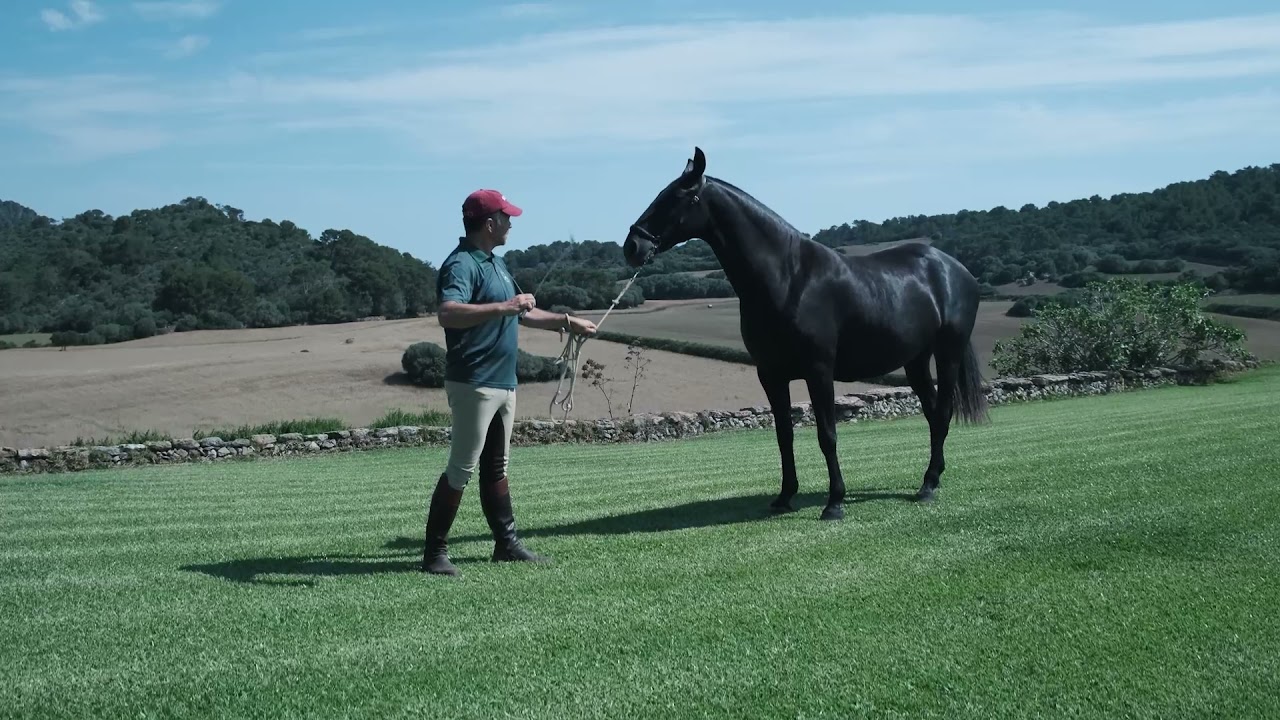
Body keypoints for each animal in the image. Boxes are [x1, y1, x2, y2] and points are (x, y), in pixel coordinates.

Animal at [621, 147, 989, 521]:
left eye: (677, 197)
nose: (632, 246)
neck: (790, 279)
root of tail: (955, 270)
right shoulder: (770, 374)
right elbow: (784, 436)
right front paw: (785, 496)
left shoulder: (819, 370)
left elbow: (827, 435)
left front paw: (835, 502)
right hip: (915, 361)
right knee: (932, 414)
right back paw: (932, 479)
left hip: (947, 354)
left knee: (942, 412)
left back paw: (927, 486)